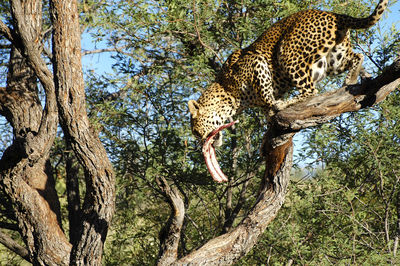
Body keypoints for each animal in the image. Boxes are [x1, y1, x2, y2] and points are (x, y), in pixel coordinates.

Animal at [189, 0, 390, 143]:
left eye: (197, 131)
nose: (202, 142)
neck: (227, 92)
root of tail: (332, 14)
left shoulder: (257, 62)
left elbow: (267, 95)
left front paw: (275, 105)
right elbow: (266, 107)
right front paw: (270, 117)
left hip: (287, 54)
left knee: (311, 90)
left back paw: (285, 104)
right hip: (334, 60)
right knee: (358, 56)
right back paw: (352, 78)